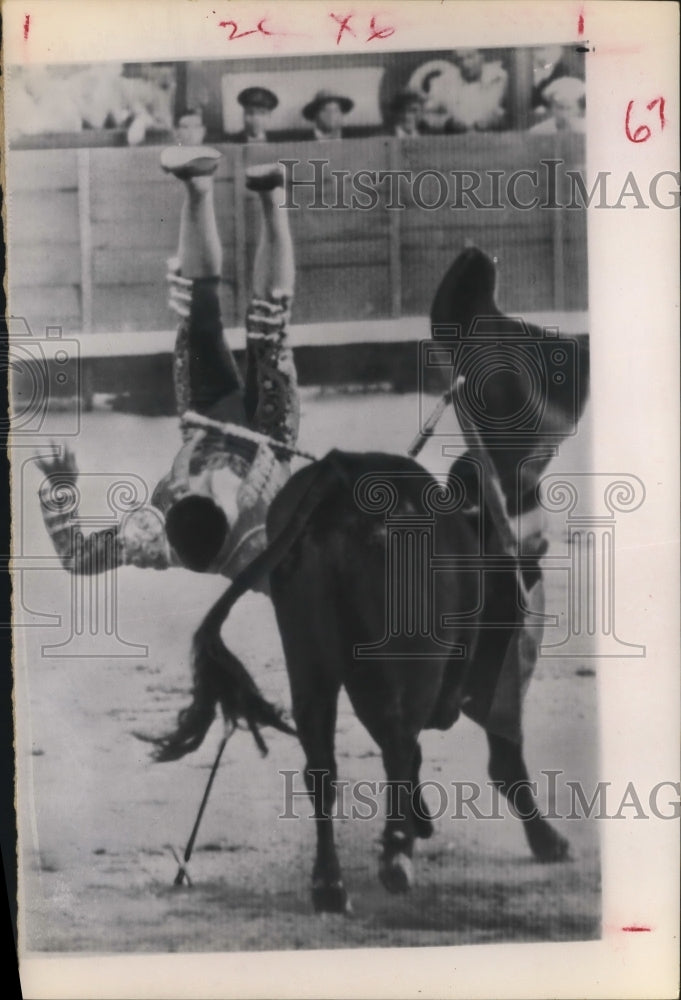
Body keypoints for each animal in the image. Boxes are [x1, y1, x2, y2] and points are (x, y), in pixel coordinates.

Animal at [150, 252, 588, 916]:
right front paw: (546, 840)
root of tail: (336, 478)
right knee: (396, 739)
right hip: (407, 657)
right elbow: (504, 753)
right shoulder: (508, 664)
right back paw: (393, 857)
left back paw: (332, 882)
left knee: (323, 760)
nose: (579, 353)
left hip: (308, 658)